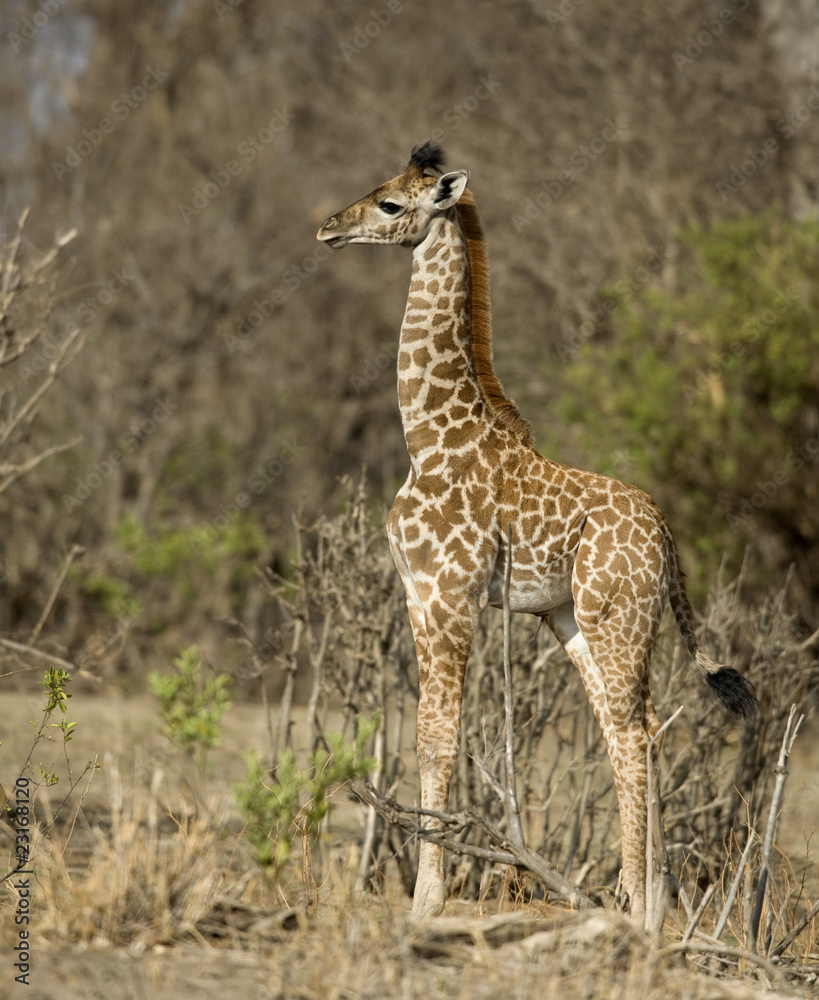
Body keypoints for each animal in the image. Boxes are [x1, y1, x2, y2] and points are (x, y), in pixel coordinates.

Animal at [316, 141, 757, 922]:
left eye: (391, 203)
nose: (329, 227)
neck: (428, 439)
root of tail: (668, 537)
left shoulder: (450, 596)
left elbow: (440, 738)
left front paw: (426, 902)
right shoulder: (416, 595)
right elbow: (426, 735)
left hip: (613, 618)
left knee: (634, 730)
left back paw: (638, 907)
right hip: (577, 620)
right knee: (633, 726)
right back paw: (647, 903)